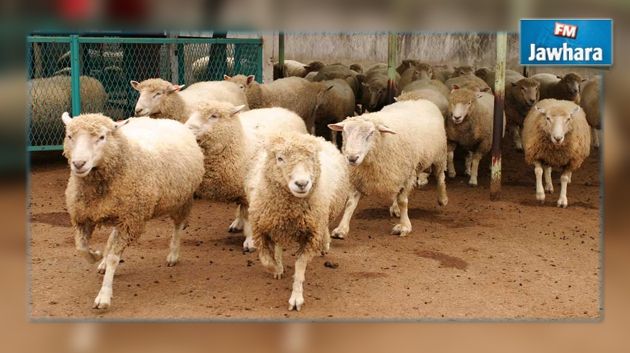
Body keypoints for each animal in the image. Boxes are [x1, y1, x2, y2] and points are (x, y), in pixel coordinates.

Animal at [60, 113, 204, 308]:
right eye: (69, 136)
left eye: (102, 137)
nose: (79, 163)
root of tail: (166, 120)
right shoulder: (83, 218)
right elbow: (81, 248)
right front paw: (97, 256)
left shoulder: (131, 219)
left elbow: (114, 258)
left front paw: (104, 295)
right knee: (112, 235)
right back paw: (103, 260)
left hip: (182, 199)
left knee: (178, 226)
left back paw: (173, 254)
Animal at [184, 101, 310, 250]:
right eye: (191, 113)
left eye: (214, 116)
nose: (187, 129)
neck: (242, 143)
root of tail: (285, 110)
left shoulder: (249, 190)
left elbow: (249, 216)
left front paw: (251, 241)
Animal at [247, 131, 350, 310]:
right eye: (280, 158)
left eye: (311, 158)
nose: (302, 183)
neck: (289, 209)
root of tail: (319, 138)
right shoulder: (261, 230)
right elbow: (266, 260)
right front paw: (276, 268)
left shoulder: (311, 234)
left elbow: (300, 268)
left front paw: (296, 297)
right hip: (278, 224)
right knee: (278, 244)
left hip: (323, 212)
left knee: (324, 228)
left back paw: (325, 244)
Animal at [328, 99, 452, 238]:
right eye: (344, 132)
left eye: (371, 133)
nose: (352, 158)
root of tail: (419, 99)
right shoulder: (358, 177)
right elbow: (350, 203)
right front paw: (342, 228)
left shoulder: (407, 174)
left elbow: (403, 201)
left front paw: (404, 226)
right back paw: (395, 207)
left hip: (439, 155)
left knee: (440, 176)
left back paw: (442, 198)